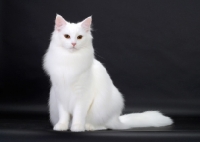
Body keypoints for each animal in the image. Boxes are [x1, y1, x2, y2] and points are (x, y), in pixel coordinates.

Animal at [43, 14, 173, 132]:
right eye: (67, 36)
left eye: (79, 37)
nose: (74, 43)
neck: (70, 60)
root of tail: (118, 120)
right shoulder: (60, 94)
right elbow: (64, 115)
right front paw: (62, 126)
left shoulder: (83, 97)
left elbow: (78, 114)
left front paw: (77, 127)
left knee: (104, 126)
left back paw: (89, 127)